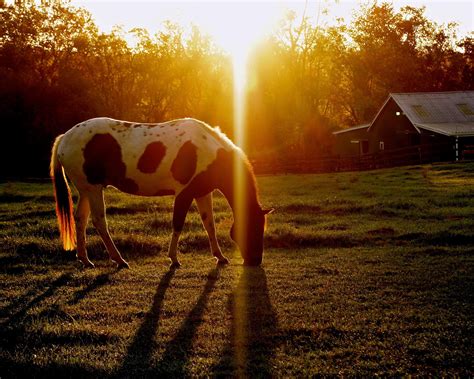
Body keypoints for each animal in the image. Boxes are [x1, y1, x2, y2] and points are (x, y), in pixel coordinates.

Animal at [50, 117, 272, 268]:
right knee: (99, 221)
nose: (255, 260)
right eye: (253, 228)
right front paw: (174, 258)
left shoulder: (202, 193)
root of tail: (65, 138)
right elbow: (178, 224)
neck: (207, 150)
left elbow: (209, 225)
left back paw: (85, 259)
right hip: (94, 189)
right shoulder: (184, 194)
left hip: (87, 190)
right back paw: (119, 260)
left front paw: (220, 256)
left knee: (81, 219)